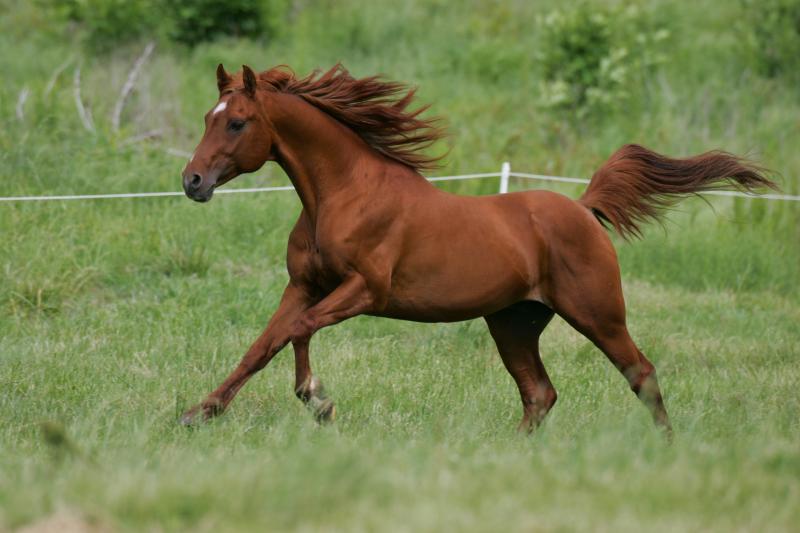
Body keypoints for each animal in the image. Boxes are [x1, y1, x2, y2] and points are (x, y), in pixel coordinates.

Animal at [179, 63, 774, 435]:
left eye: (237, 122)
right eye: (207, 117)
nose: (192, 182)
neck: (342, 194)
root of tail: (584, 209)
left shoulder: (364, 291)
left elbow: (298, 333)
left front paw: (318, 400)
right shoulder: (304, 286)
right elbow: (263, 346)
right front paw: (200, 412)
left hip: (597, 313)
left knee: (640, 373)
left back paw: (667, 448)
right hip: (513, 323)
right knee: (539, 393)